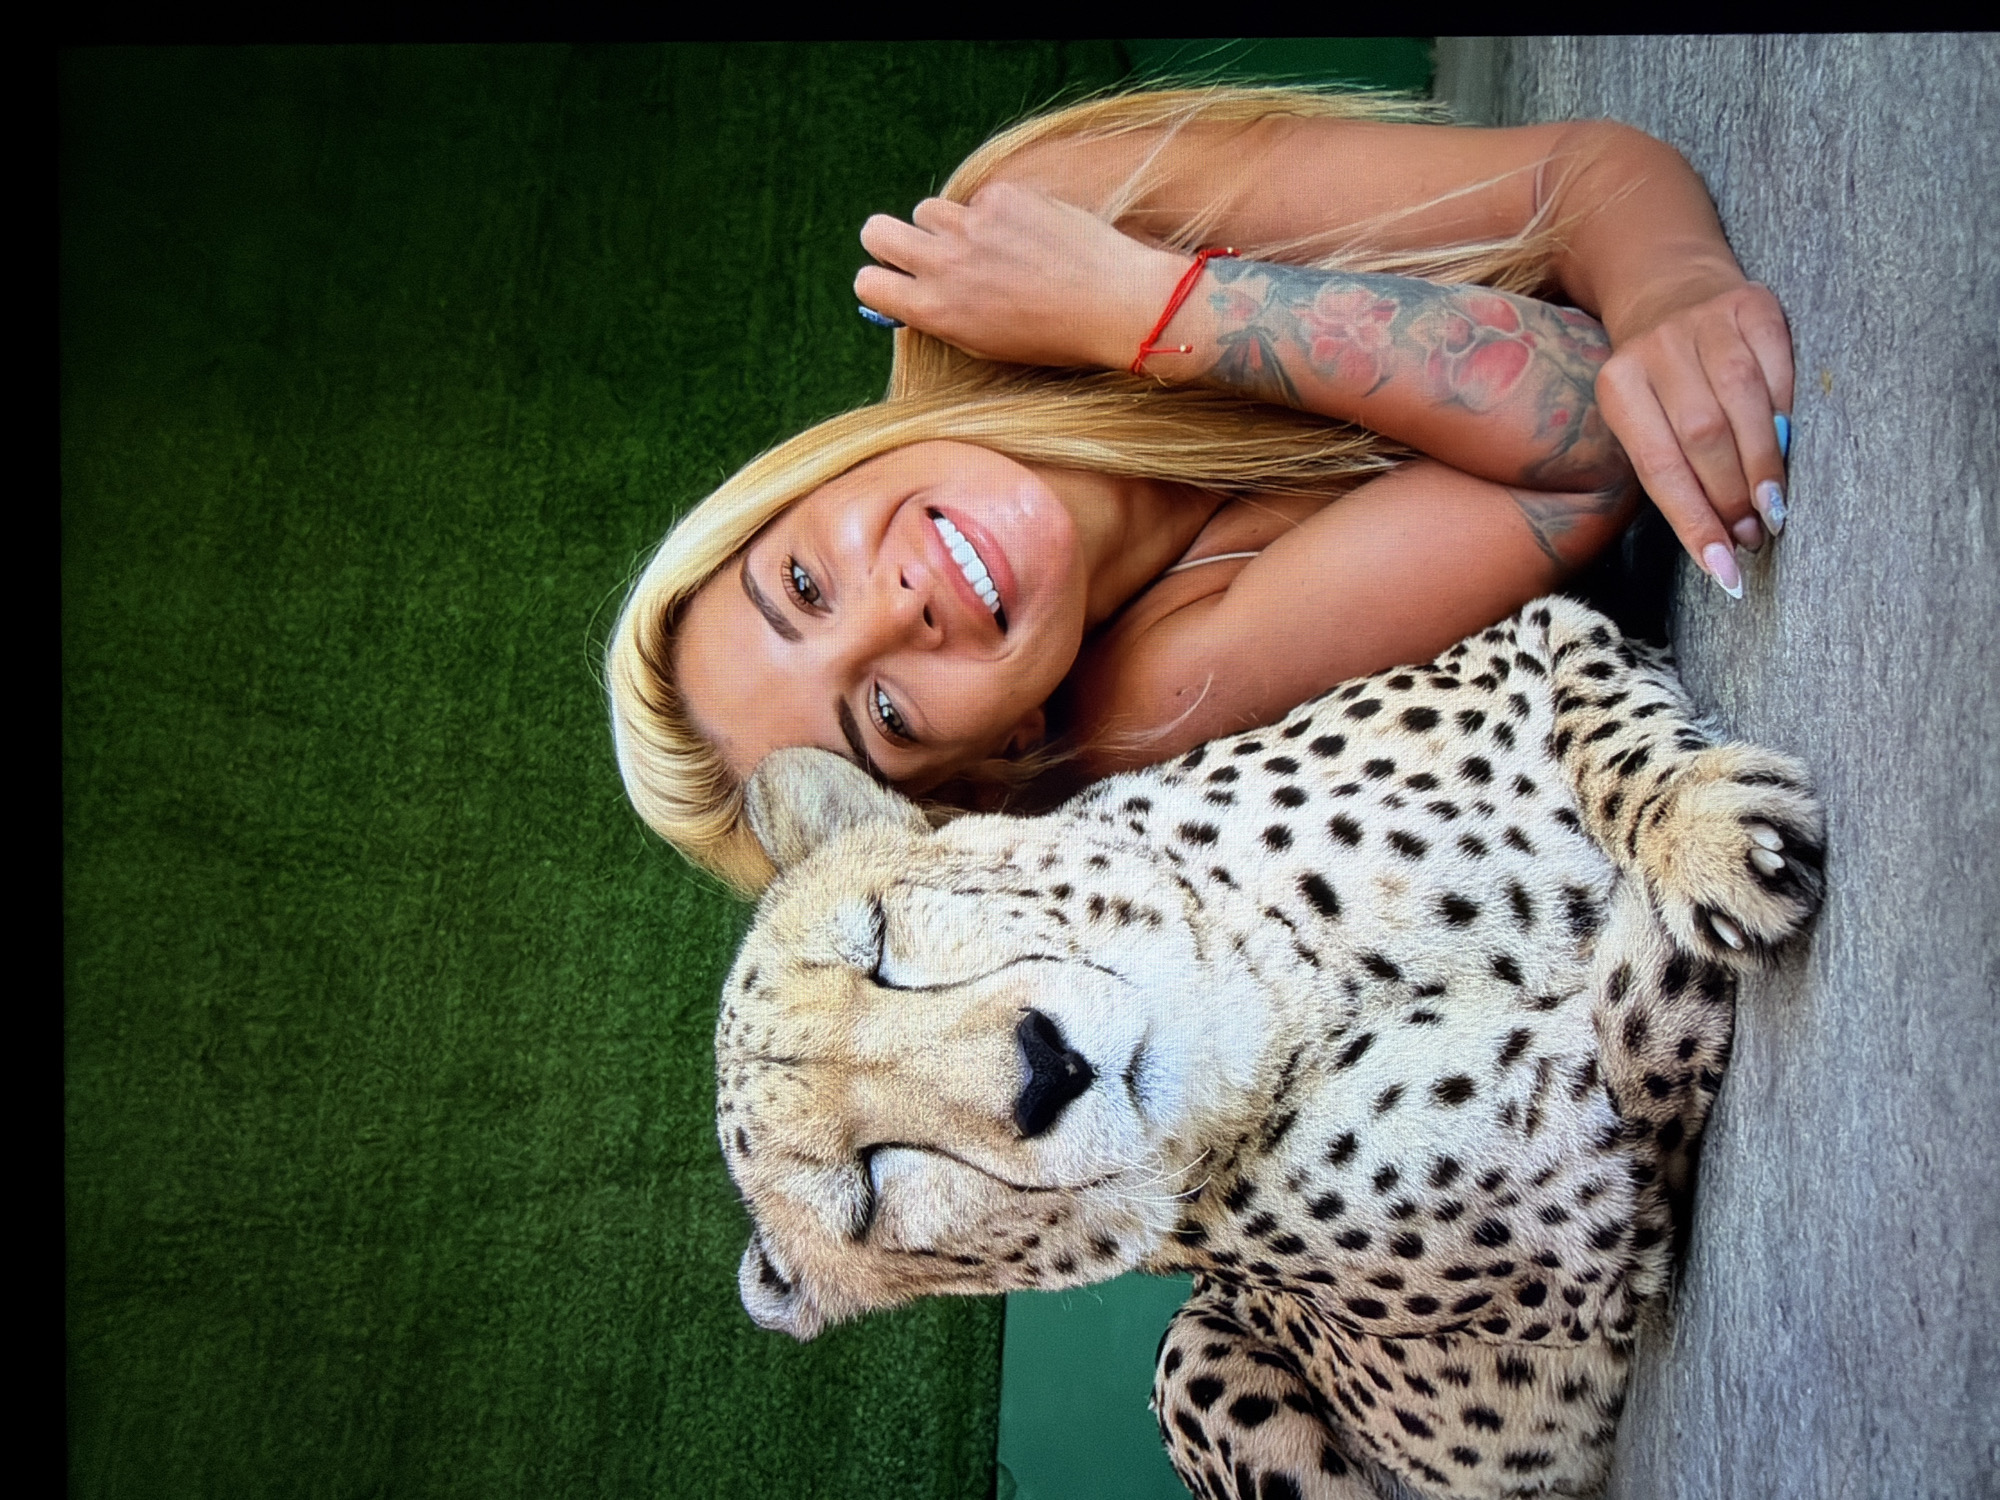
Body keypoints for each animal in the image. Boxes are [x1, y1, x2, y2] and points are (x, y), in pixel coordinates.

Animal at [713, 596, 1824, 1500]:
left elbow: (1605, 722)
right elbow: (1638, 1011)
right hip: (1193, 1359)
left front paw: (1702, 828)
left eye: (876, 942)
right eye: (865, 1192)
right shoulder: (1603, 1202)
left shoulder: (1537, 635)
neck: (1272, 989)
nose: (1045, 1068)